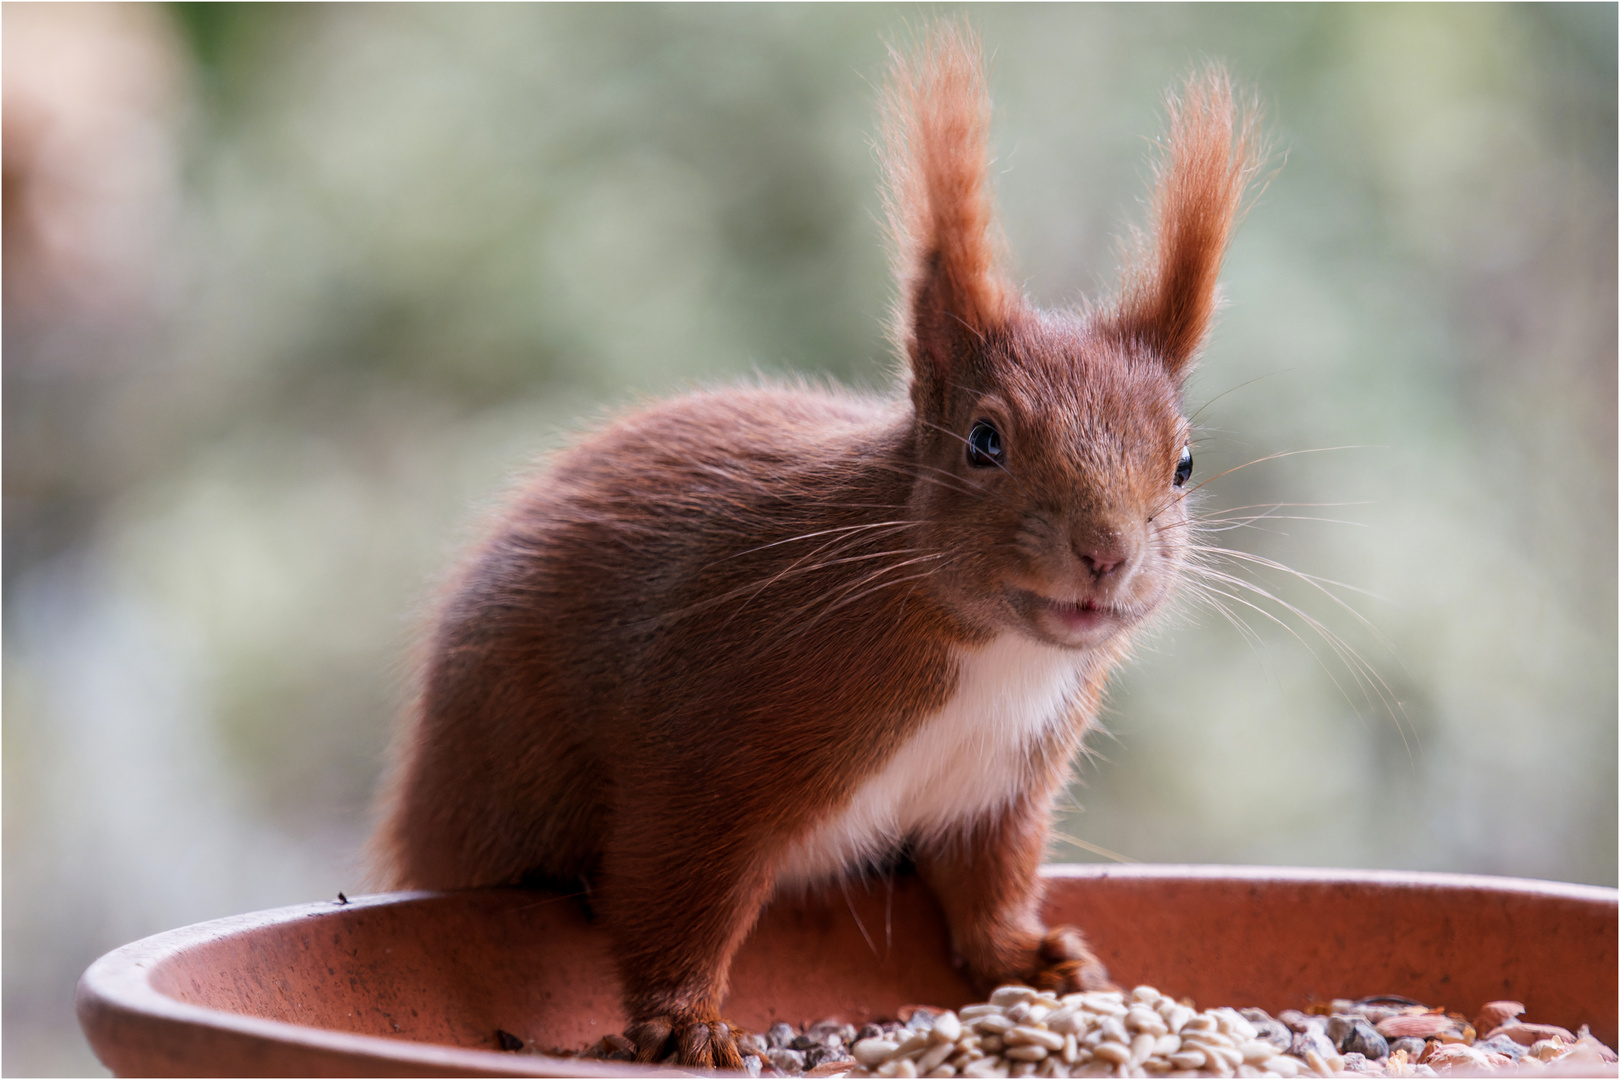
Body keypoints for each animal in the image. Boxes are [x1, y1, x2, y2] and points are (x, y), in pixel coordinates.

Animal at [370, 25, 1263, 1075]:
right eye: (985, 441)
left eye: (1185, 464)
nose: (1106, 553)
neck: (988, 652)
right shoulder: (716, 738)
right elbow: (674, 887)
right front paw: (688, 1023)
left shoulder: (1001, 788)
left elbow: (989, 884)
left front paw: (1036, 963)